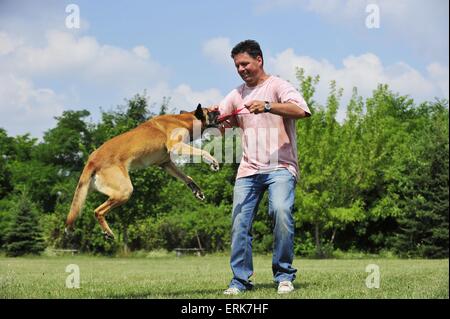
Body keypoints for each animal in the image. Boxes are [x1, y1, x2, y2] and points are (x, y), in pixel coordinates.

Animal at [66, 104, 221, 240]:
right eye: (210, 112)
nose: (218, 110)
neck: (184, 119)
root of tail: (92, 159)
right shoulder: (176, 146)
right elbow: (203, 152)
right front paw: (212, 161)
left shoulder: (165, 163)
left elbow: (187, 177)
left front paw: (197, 190)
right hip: (125, 190)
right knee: (98, 211)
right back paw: (108, 232)